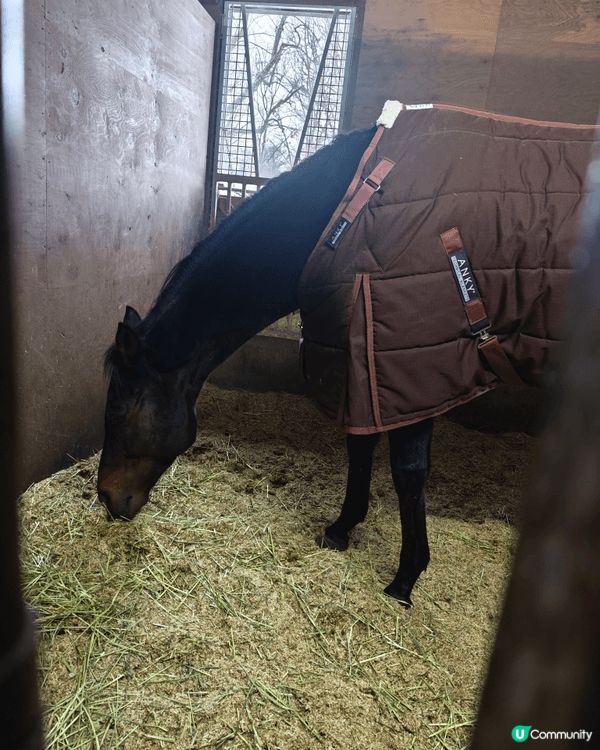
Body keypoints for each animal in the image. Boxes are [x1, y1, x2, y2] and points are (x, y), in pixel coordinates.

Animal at [98, 104, 597, 607]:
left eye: (118, 410)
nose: (106, 499)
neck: (348, 215)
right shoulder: (364, 365)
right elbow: (361, 445)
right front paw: (342, 528)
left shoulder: (411, 374)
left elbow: (408, 472)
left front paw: (405, 579)